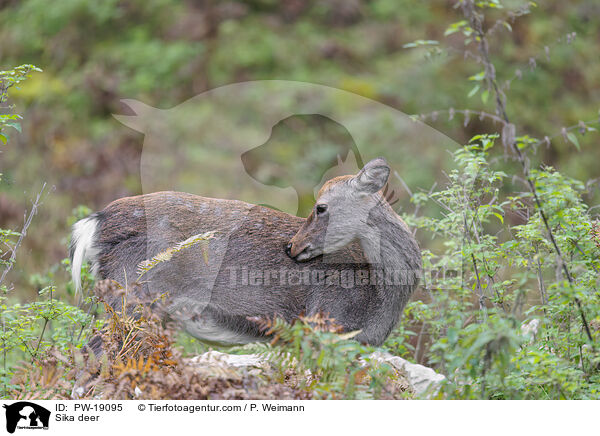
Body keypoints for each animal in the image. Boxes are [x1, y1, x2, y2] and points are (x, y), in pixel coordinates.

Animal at [71, 158, 422, 350]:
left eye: (321, 207)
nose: (292, 246)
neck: (382, 295)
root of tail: (96, 222)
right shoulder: (324, 324)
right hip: (133, 299)